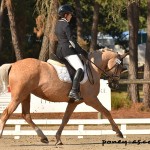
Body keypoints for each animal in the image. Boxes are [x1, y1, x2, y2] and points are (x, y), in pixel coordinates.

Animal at [0, 48, 129, 145]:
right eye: (120, 67)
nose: (115, 84)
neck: (93, 68)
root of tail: (13, 64)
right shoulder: (91, 99)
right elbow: (106, 112)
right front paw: (118, 132)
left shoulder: (73, 102)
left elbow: (65, 119)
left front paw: (58, 138)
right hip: (18, 96)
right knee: (6, 114)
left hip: (26, 95)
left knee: (26, 115)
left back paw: (43, 137)